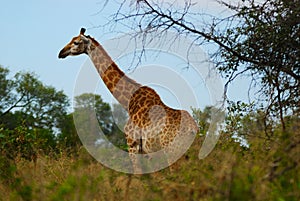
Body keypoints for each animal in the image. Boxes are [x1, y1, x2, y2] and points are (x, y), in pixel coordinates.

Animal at [58, 28, 199, 174]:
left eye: (76, 42)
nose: (61, 52)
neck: (128, 102)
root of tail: (192, 129)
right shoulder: (148, 154)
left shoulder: (133, 146)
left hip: (172, 151)